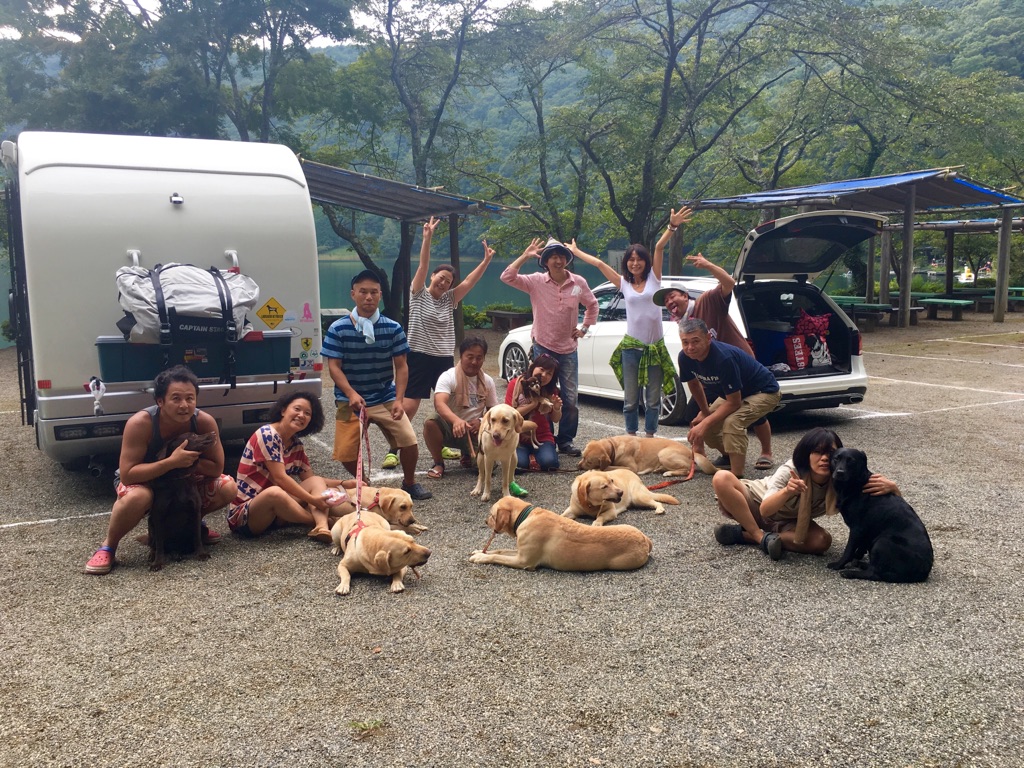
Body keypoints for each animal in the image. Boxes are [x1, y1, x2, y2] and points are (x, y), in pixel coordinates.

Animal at [147, 431, 217, 571]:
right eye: (193, 436)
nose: (213, 432)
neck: (179, 478)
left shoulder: (195, 511)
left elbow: (197, 537)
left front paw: (201, 554)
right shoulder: (158, 515)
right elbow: (159, 543)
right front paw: (157, 563)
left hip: (204, 529)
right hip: (150, 523)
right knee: (154, 544)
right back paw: (153, 555)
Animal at [469, 496, 652, 571]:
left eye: (491, 515)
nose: (485, 521)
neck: (525, 516)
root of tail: (645, 539)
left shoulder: (524, 561)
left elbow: (496, 556)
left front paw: (481, 557)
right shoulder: (520, 551)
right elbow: (499, 550)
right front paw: (480, 551)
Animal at [578, 434, 718, 476]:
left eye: (589, 461)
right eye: (582, 456)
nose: (578, 466)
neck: (613, 446)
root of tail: (691, 451)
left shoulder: (631, 468)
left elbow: (609, 467)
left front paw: (597, 469)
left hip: (663, 454)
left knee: (686, 470)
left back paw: (668, 473)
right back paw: (660, 469)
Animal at [827, 447, 933, 583]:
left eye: (851, 461)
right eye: (836, 458)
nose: (840, 472)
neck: (858, 485)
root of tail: (924, 572)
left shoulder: (857, 529)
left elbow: (848, 551)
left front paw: (838, 565)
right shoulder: (864, 532)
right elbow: (860, 547)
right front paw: (857, 557)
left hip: (882, 541)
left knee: (874, 574)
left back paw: (849, 572)